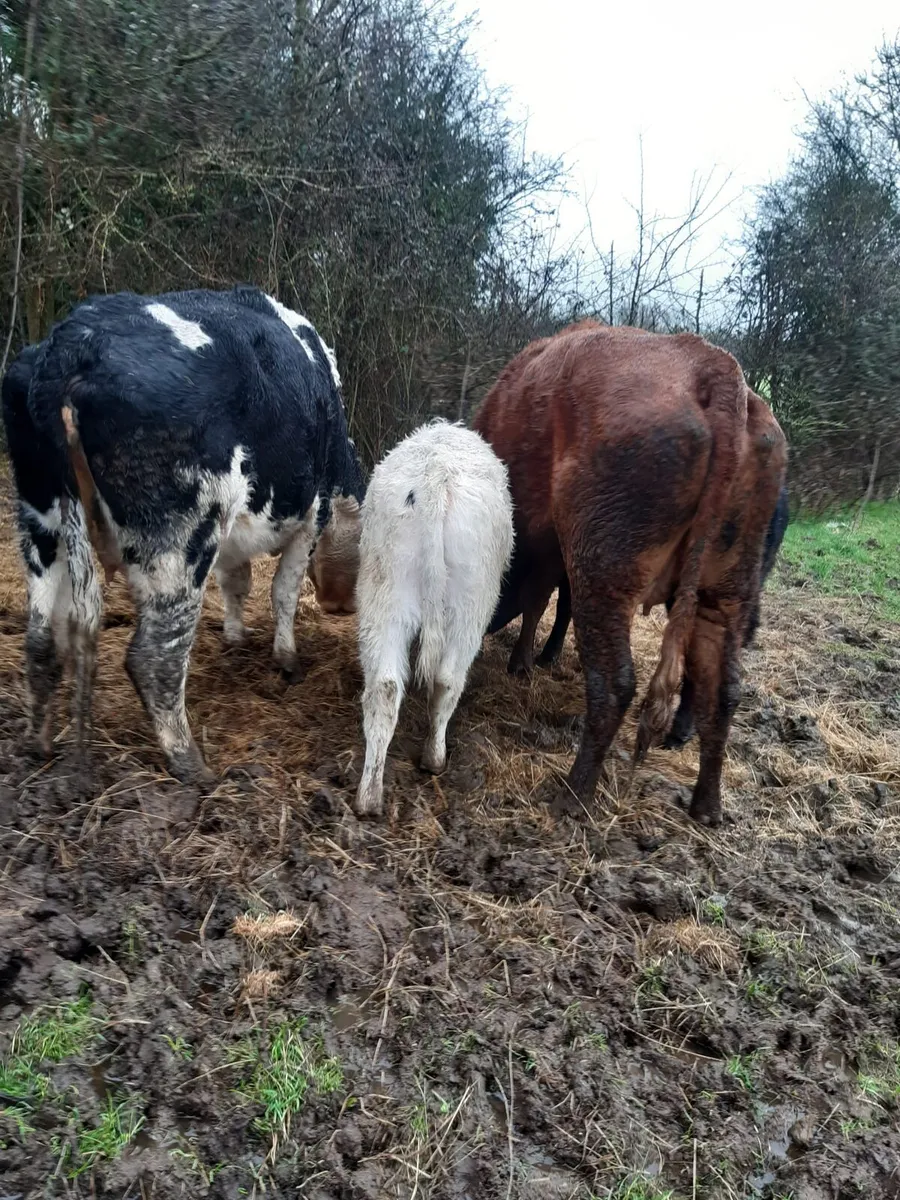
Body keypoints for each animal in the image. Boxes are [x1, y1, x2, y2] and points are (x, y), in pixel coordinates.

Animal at [4, 285, 365, 785]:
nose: (341, 605)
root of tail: (70, 343)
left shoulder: (237, 533)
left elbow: (237, 582)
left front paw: (235, 638)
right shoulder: (312, 514)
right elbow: (283, 592)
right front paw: (287, 660)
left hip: (41, 517)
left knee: (40, 638)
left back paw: (38, 744)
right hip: (182, 534)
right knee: (154, 656)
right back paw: (191, 763)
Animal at [355, 420, 514, 817]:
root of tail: (435, 477)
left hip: (385, 593)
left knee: (385, 687)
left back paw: (369, 795)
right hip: (470, 606)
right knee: (447, 681)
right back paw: (434, 758)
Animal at [472, 322, 788, 826]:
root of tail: (712, 365)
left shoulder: (549, 548)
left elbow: (538, 600)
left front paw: (521, 665)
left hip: (604, 564)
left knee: (615, 684)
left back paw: (571, 796)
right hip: (727, 587)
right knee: (722, 691)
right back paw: (705, 808)